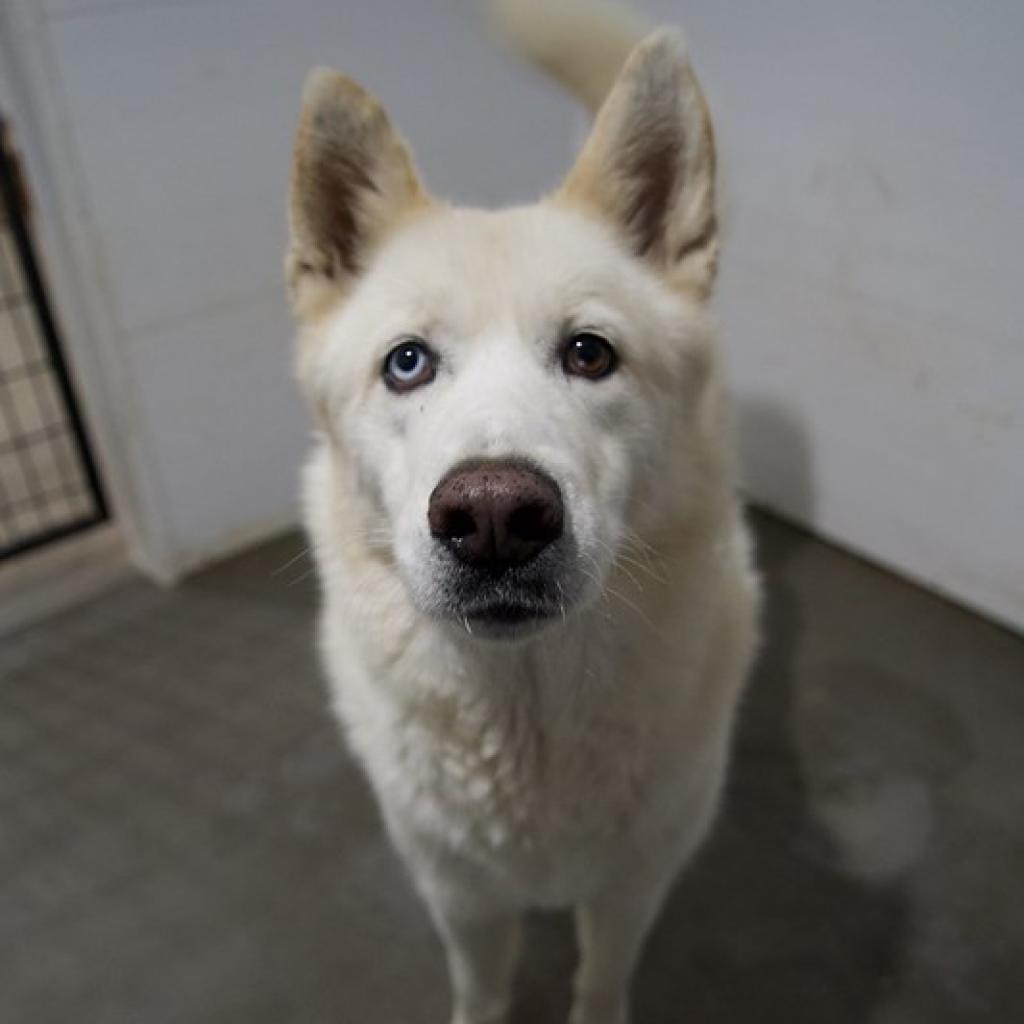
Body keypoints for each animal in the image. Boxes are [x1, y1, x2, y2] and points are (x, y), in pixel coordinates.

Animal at [288, 2, 761, 1024]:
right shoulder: (462, 902)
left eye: (590, 353)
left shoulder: (631, 893)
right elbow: (482, 989)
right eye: (407, 363)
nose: (496, 516)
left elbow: (601, 979)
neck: (529, 728)